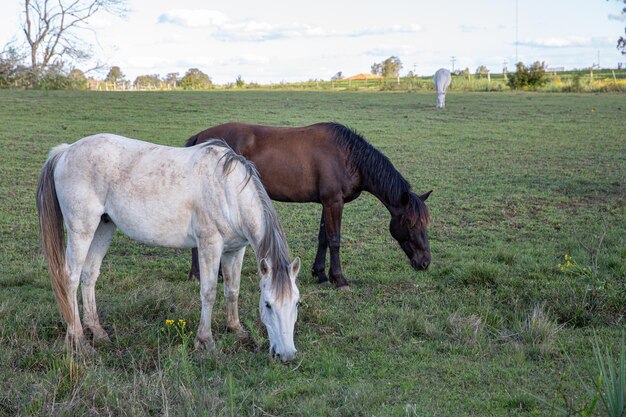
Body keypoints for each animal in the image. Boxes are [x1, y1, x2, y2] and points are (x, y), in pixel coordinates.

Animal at [37, 134, 302, 360]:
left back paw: (98, 332)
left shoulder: (235, 250)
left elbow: (232, 290)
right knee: (70, 278)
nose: (287, 355)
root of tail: (66, 150)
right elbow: (209, 292)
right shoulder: (209, 245)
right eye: (268, 304)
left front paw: (236, 329)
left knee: (89, 275)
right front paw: (205, 341)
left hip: (104, 226)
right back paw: (79, 339)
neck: (228, 189)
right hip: (82, 229)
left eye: (297, 303)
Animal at [185, 122, 428, 288]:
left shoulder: (327, 203)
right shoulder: (334, 203)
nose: (425, 262)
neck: (348, 157)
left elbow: (323, 238)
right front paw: (339, 279)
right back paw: (197, 275)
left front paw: (320, 274)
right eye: (411, 224)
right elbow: (335, 240)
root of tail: (201, 137)